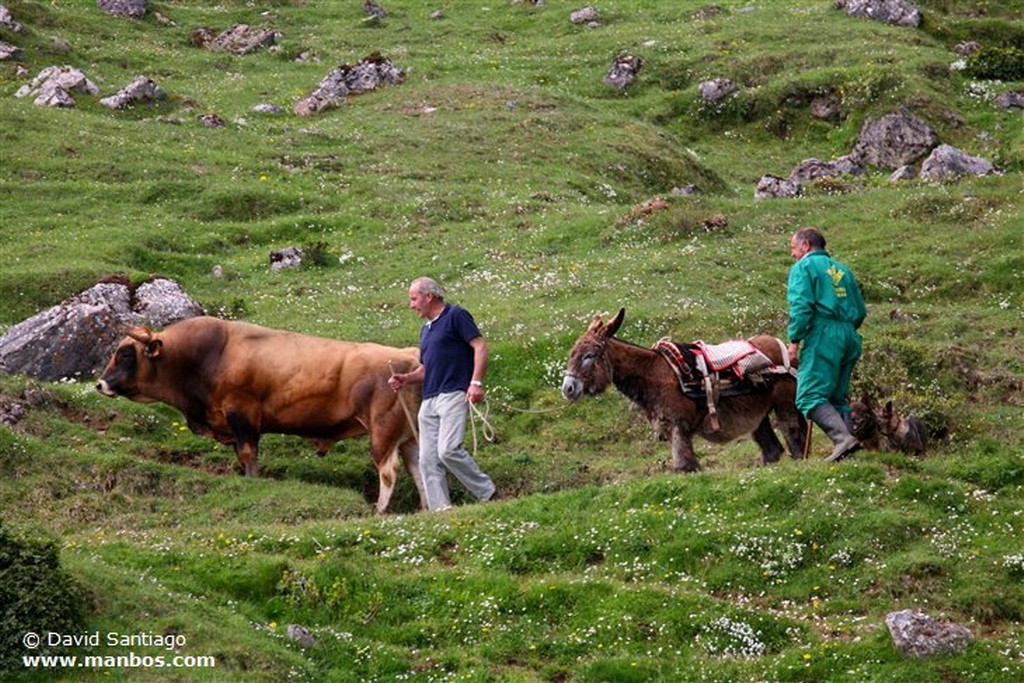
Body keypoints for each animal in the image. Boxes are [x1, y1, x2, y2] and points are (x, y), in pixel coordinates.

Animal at [97, 315, 425, 511]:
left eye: (125, 354)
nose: (100, 383)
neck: (210, 355)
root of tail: (408, 355)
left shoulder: (242, 414)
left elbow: (248, 455)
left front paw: (253, 483)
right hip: (409, 437)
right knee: (419, 469)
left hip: (382, 434)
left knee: (388, 471)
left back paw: (379, 511)